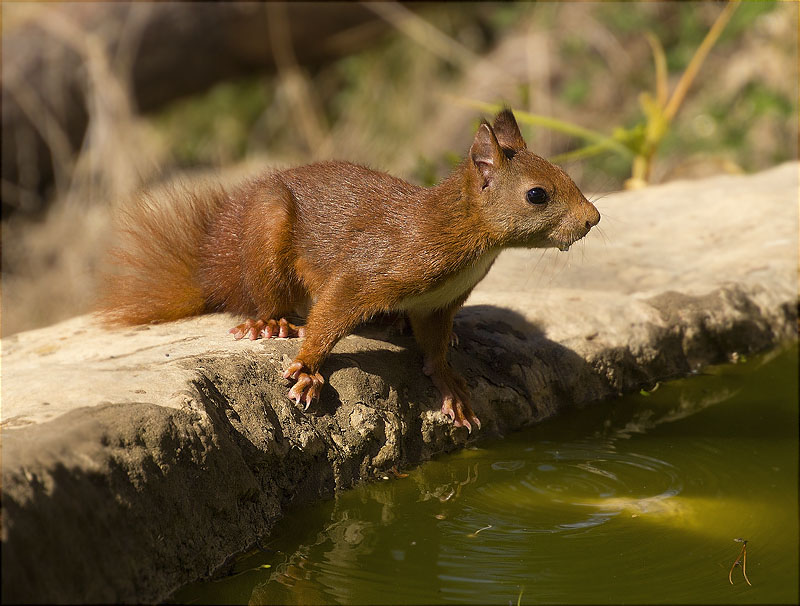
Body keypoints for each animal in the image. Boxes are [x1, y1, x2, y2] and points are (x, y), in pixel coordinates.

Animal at [103, 109, 596, 432]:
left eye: (565, 173)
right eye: (537, 194)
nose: (593, 219)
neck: (458, 235)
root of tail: (219, 273)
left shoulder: (438, 305)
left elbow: (435, 346)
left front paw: (451, 386)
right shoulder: (369, 272)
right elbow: (330, 315)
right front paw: (307, 369)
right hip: (265, 230)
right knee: (267, 295)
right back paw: (269, 322)